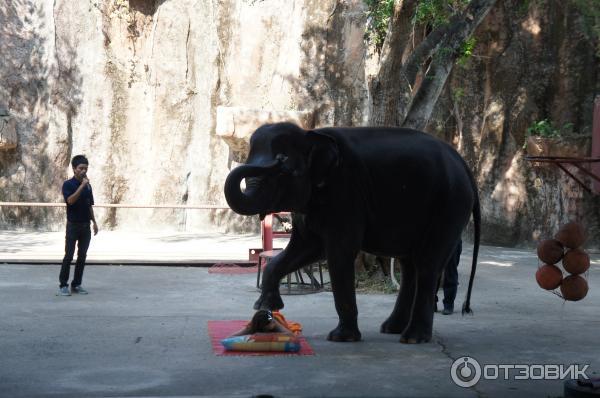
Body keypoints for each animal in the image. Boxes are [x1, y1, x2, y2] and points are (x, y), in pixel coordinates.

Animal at [223, 123, 480, 344]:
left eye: (285, 168)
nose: (279, 160)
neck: (311, 134)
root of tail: (463, 163)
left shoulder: (346, 192)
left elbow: (338, 253)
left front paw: (341, 337)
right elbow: (304, 248)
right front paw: (266, 306)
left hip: (449, 205)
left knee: (427, 264)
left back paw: (413, 338)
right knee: (410, 266)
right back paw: (392, 329)